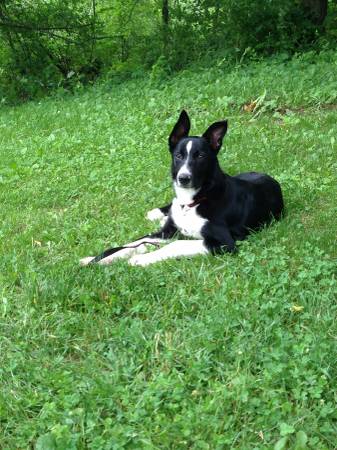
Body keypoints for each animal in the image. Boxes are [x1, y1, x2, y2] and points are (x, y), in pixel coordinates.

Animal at [80, 110, 282, 266]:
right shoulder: (167, 231)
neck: (194, 201)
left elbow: (175, 245)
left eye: (200, 156)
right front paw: (97, 258)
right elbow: (136, 242)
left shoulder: (224, 243)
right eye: (178, 155)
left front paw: (141, 259)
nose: (183, 178)